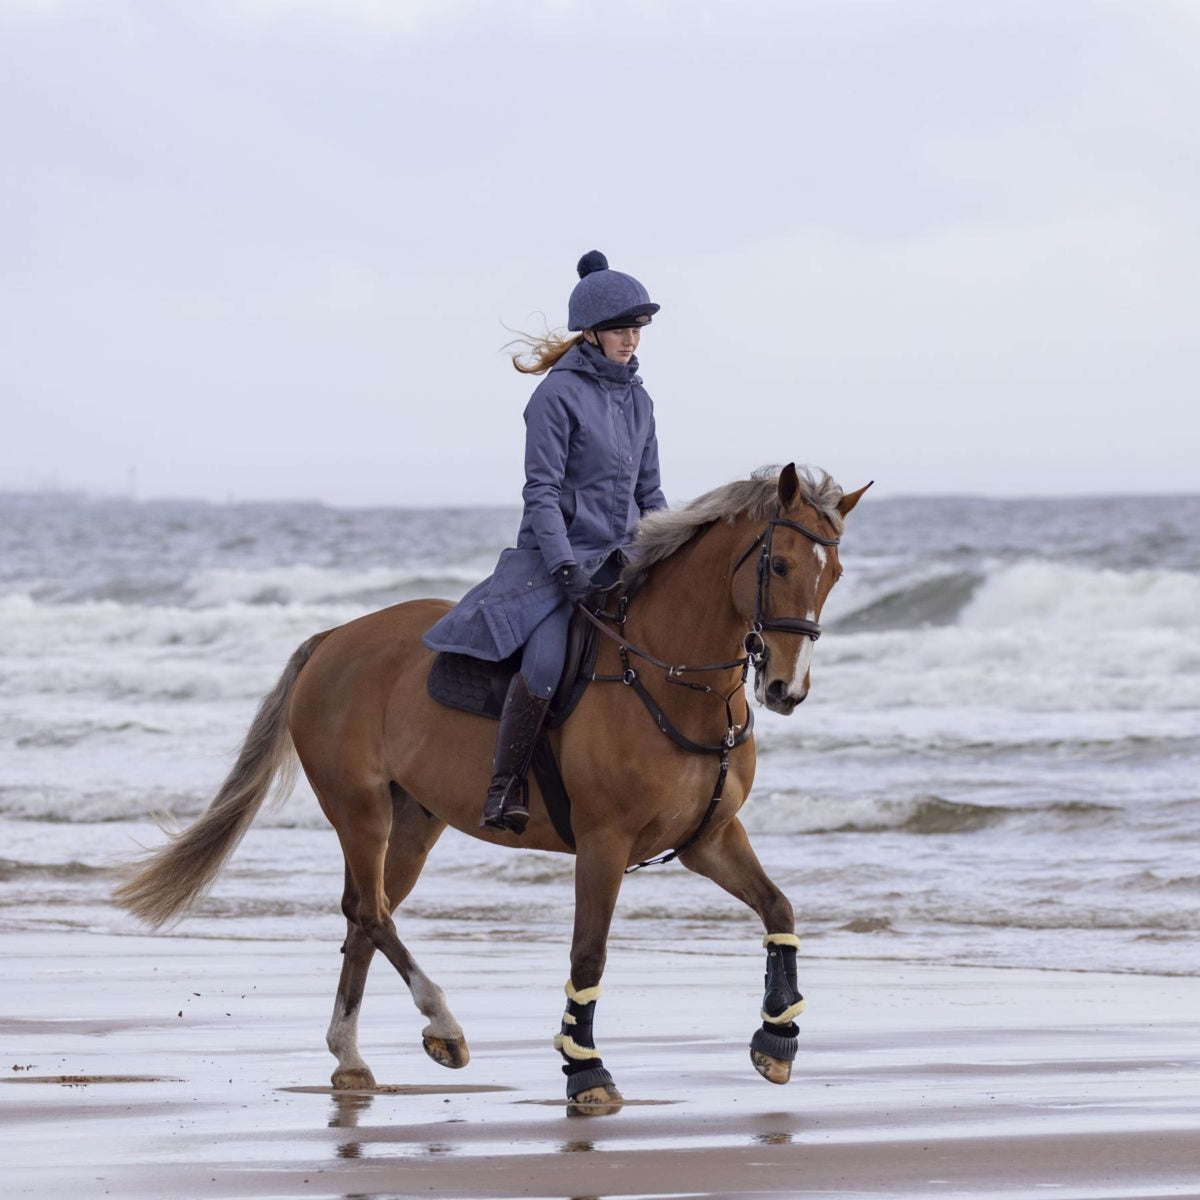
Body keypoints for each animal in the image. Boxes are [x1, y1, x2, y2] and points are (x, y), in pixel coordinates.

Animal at [112, 463, 868, 1108]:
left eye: (833, 574)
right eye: (778, 564)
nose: (786, 689)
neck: (668, 678)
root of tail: (334, 638)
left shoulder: (708, 838)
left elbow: (778, 908)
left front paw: (777, 1034)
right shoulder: (604, 843)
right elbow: (588, 952)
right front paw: (585, 1068)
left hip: (413, 821)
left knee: (363, 913)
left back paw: (350, 1057)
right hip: (360, 810)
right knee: (373, 912)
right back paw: (442, 1024)